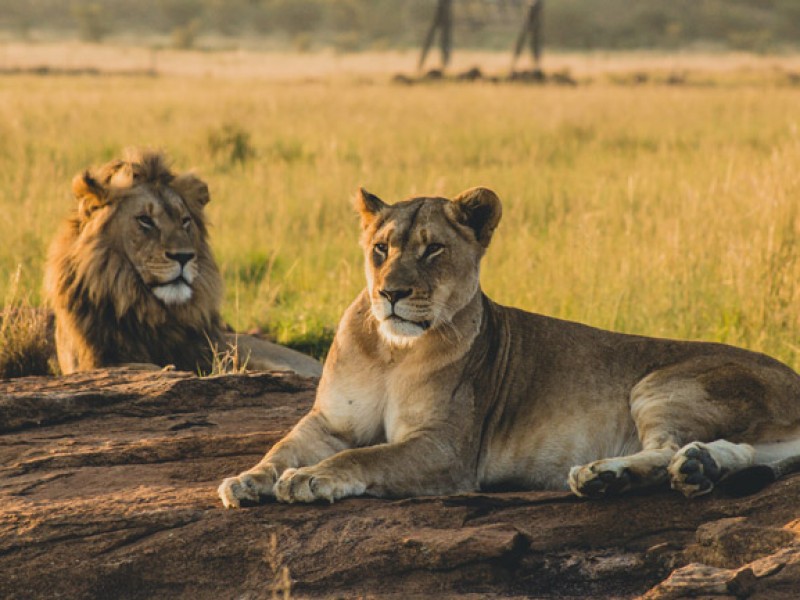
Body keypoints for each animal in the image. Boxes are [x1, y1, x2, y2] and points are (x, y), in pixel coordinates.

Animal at [216, 188, 796, 506]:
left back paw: (605, 476)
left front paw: (312, 478)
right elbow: (281, 447)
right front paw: (246, 480)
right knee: (730, 452)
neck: (392, 352)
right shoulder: (329, 422)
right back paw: (696, 468)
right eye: (381, 249)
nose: (391, 294)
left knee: (666, 447)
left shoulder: (446, 449)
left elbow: (367, 455)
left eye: (433, 250)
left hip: (661, 383)